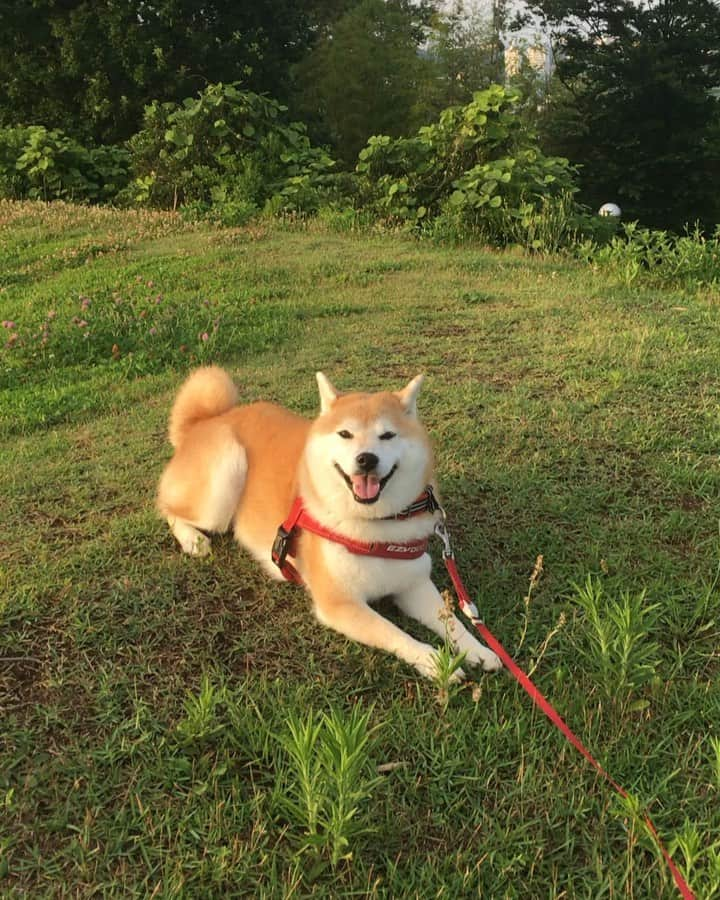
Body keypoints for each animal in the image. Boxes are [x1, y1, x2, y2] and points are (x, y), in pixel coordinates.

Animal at [158, 370, 504, 680]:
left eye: (387, 435)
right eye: (345, 434)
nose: (366, 459)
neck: (373, 525)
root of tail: (204, 422)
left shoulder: (413, 585)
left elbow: (452, 620)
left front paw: (480, 650)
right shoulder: (339, 603)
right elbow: (395, 633)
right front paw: (435, 662)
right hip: (226, 473)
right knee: (165, 506)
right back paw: (192, 540)